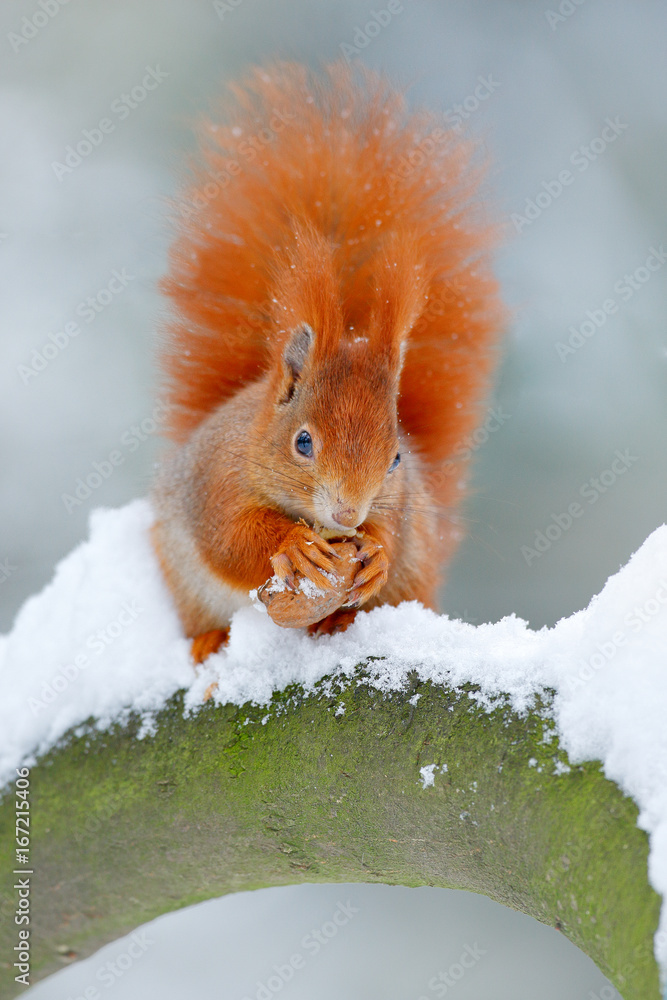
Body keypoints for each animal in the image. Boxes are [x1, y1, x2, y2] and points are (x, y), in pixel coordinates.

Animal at [153, 58, 506, 660]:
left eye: (395, 457)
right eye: (303, 443)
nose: (346, 516)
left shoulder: (399, 501)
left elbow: (391, 535)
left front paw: (376, 554)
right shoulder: (215, 483)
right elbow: (230, 539)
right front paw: (295, 544)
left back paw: (337, 621)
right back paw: (211, 641)